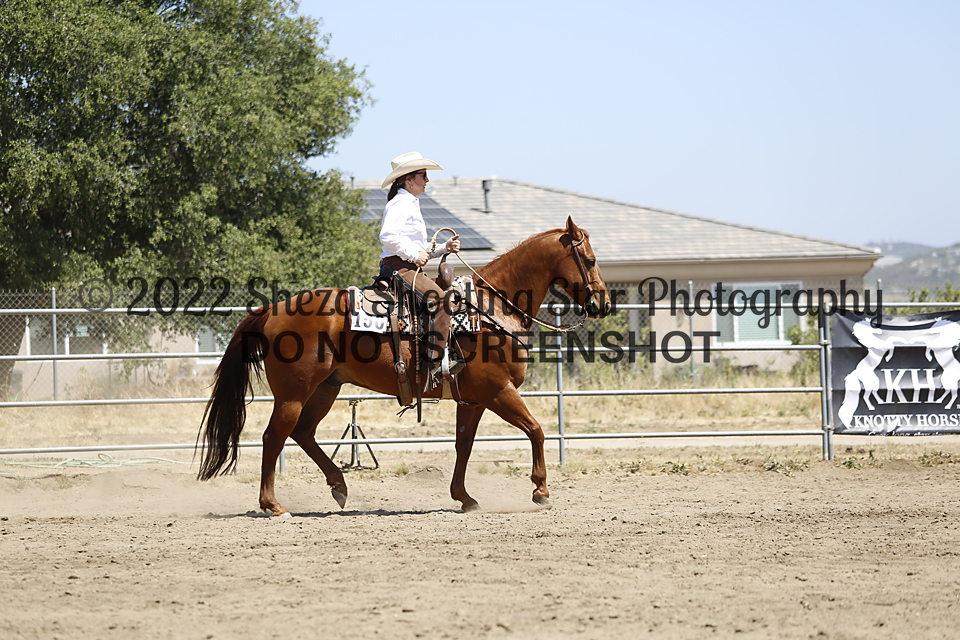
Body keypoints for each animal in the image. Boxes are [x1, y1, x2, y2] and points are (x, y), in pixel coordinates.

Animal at [196, 216, 610, 516]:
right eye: (589, 260)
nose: (603, 304)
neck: (492, 310)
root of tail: (272, 310)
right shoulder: (498, 391)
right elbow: (537, 430)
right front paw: (540, 489)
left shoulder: (474, 400)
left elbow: (464, 445)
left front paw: (464, 497)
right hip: (293, 392)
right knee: (274, 437)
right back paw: (273, 505)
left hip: (326, 388)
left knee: (302, 433)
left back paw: (339, 487)